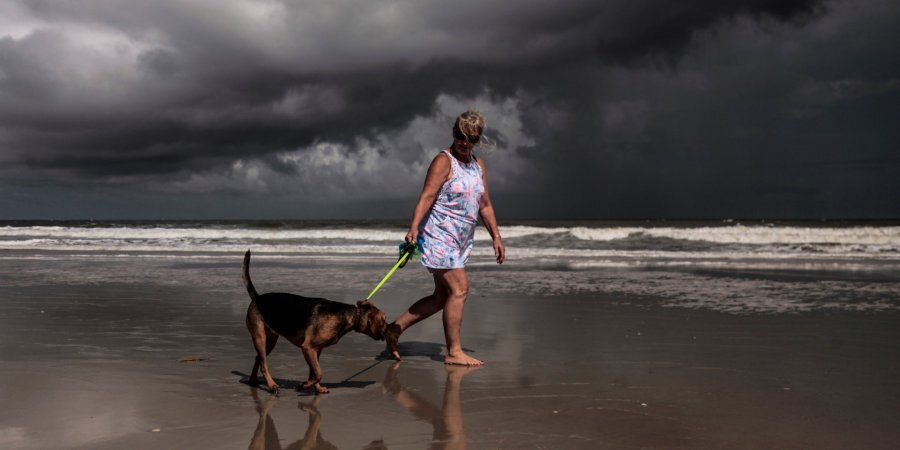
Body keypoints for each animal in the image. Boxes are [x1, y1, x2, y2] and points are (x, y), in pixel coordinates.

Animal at [241, 250, 384, 394]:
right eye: (384, 321)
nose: (386, 331)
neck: (351, 315)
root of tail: (257, 298)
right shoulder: (308, 348)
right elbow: (319, 373)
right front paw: (304, 385)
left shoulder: (316, 350)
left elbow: (314, 373)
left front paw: (315, 387)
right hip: (260, 337)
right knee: (263, 364)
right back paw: (271, 385)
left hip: (270, 340)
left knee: (259, 359)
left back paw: (253, 381)